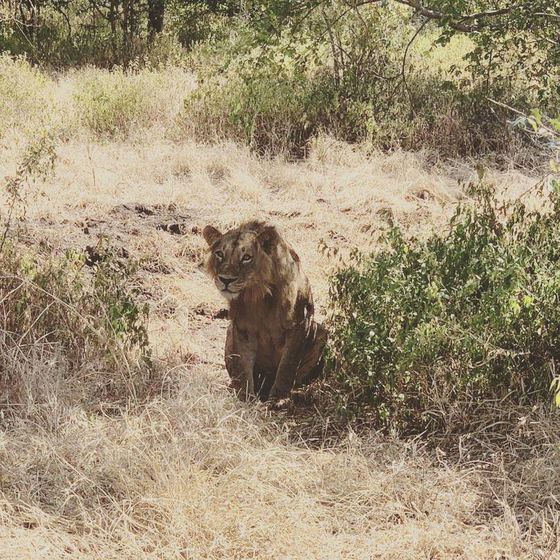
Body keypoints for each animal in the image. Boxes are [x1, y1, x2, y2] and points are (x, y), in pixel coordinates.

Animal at [202, 220, 327, 406]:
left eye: (246, 257)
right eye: (219, 254)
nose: (225, 280)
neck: (257, 294)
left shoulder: (300, 323)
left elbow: (288, 364)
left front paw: (279, 398)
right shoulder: (242, 328)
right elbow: (243, 366)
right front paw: (245, 397)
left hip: (321, 331)